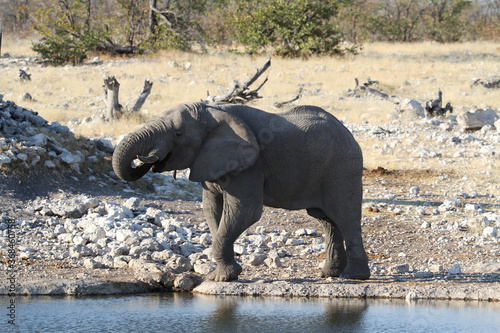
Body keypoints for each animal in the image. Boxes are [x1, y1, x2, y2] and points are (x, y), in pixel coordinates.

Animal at [113, 101, 372, 280]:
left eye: (178, 133)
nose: (147, 159)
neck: (210, 110)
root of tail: (349, 133)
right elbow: (212, 209)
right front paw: (224, 275)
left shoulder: (250, 165)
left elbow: (245, 211)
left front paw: (223, 278)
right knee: (327, 220)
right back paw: (329, 274)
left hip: (342, 168)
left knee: (344, 216)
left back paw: (353, 277)